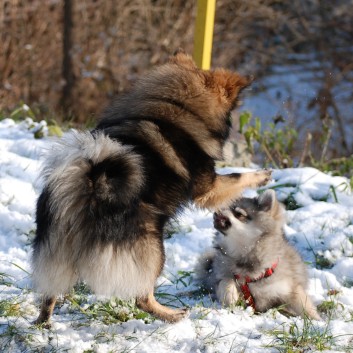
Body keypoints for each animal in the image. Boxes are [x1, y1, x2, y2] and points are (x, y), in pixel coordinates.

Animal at [31, 50, 270, 324]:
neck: (176, 106)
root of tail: (91, 186)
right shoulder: (208, 189)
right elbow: (237, 176)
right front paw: (263, 175)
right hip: (153, 248)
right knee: (141, 297)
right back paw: (172, 315)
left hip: (57, 251)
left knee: (49, 292)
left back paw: (43, 322)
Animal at [194, 190, 320, 320]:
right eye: (222, 207)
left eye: (238, 214)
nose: (216, 212)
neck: (244, 254)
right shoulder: (222, 275)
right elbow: (225, 280)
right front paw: (229, 294)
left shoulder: (289, 289)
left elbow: (304, 305)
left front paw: (317, 320)